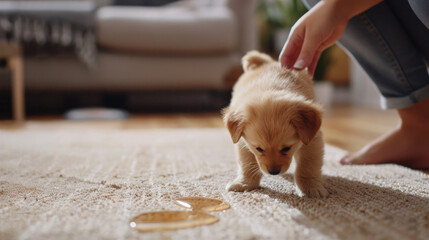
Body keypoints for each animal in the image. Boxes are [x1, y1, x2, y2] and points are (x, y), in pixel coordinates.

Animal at [221, 50, 328, 197]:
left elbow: (308, 166)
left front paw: (311, 187)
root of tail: (266, 62)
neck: (270, 86)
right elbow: (247, 164)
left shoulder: (312, 141)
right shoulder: (243, 142)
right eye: (259, 149)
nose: (273, 172)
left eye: (286, 148)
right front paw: (244, 183)